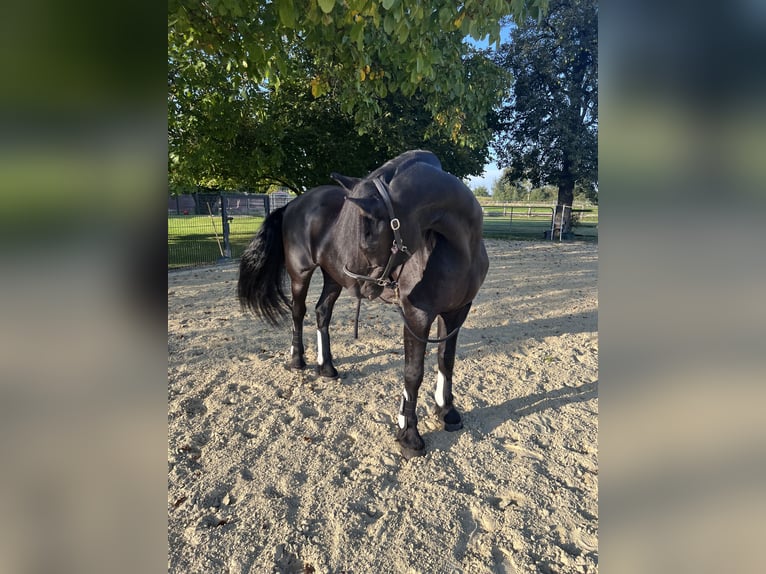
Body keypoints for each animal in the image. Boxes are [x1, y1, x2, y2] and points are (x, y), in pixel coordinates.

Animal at [240, 151, 488, 462]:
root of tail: (293, 204)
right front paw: (408, 434)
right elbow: (413, 372)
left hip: (333, 277)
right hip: (300, 274)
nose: (363, 287)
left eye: (368, 234)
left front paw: (447, 412)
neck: (459, 247)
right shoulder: (417, 315)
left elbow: (446, 360)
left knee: (322, 313)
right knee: (298, 314)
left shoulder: (457, 311)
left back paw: (327, 367)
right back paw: (297, 361)